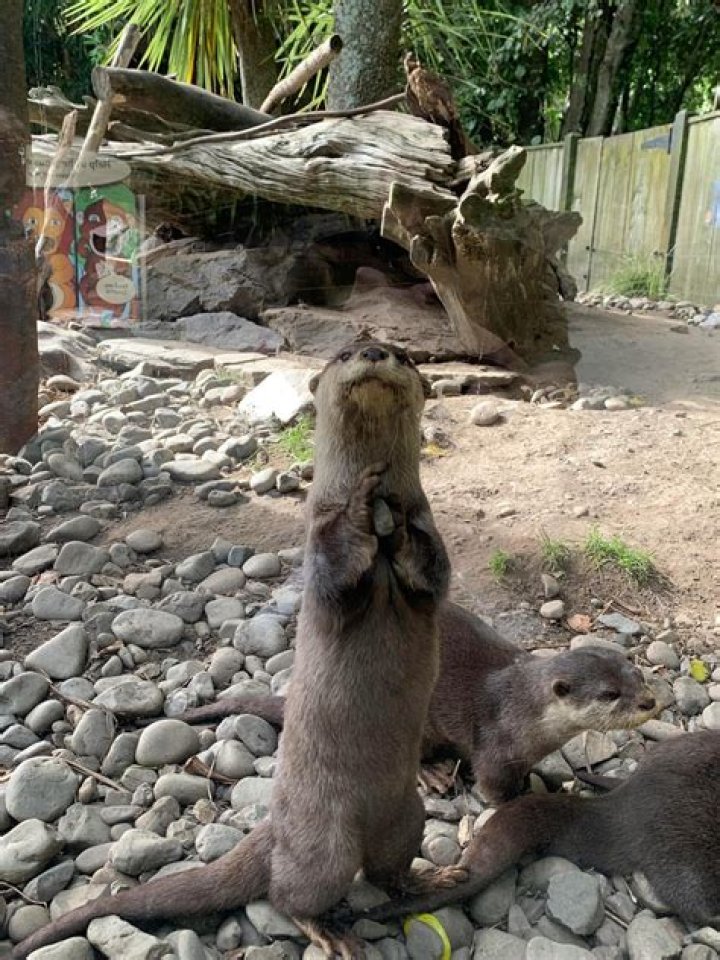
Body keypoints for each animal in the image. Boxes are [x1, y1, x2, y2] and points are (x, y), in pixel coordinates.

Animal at [13, 341, 450, 960]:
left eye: (402, 355)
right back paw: (328, 930)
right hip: (325, 846)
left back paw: (429, 879)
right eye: (344, 352)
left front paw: (397, 519)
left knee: (389, 869)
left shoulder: (431, 554)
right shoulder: (319, 547)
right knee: (290, 894)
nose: (371, 351)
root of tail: (274, 831)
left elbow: (430, 567)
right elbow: (340, 560)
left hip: (406, 821)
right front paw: (365, 503)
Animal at [177, 602, 657, 803]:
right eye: (610, 694)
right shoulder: (496, 747)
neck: (525, 711)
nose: (650, 702)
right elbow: (494, 789)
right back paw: (433, 775)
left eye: (637, 675)